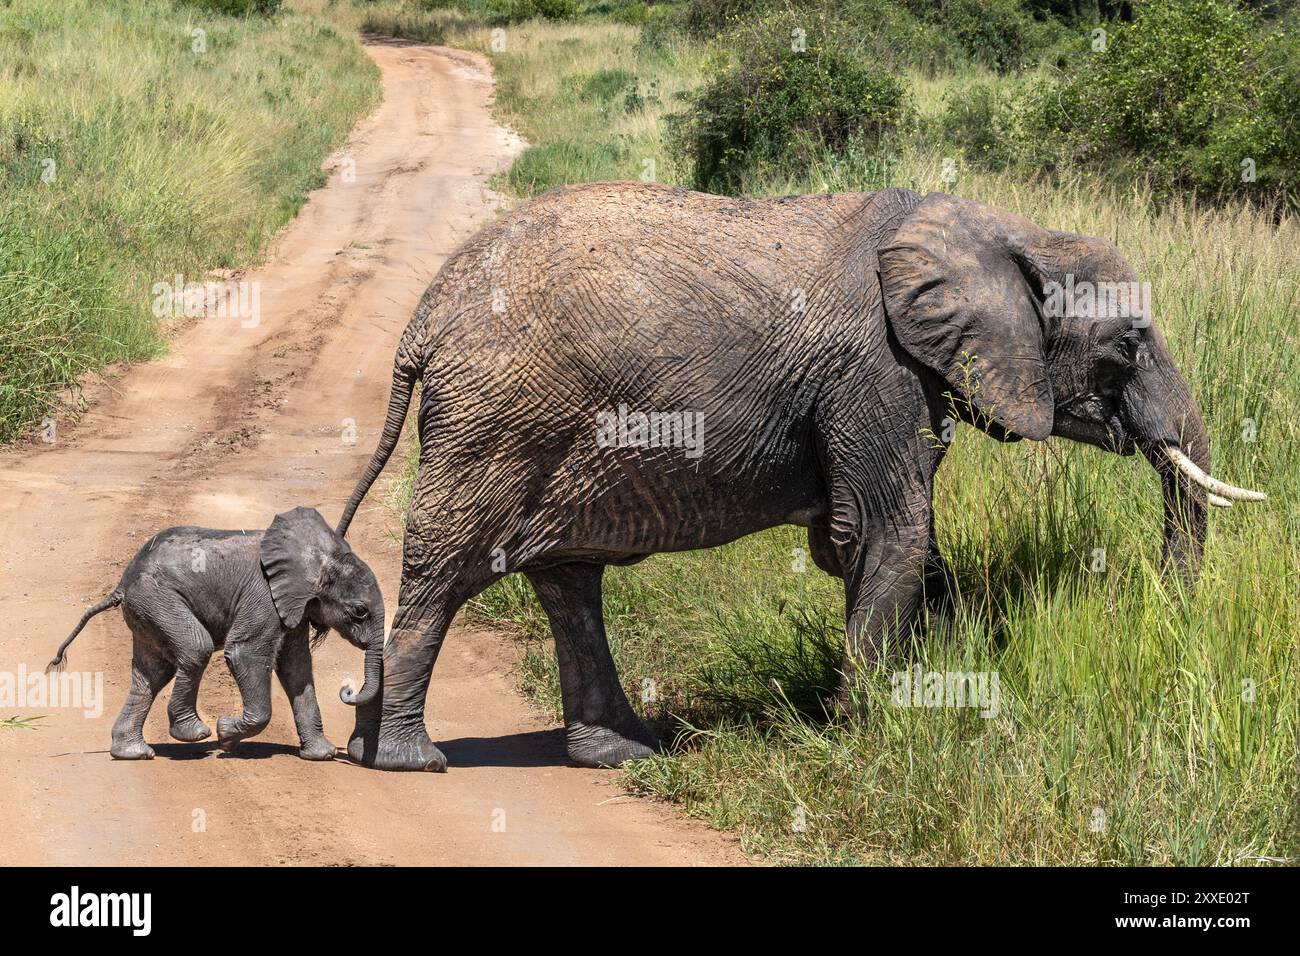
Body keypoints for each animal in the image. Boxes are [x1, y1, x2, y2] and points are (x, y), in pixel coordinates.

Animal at [48, 507, 385, 761]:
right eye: (359, 611)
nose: (347, 689)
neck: (315, 557)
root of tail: (121, 584)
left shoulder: (292, 607)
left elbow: (297, 667)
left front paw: (322, 755)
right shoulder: (262, 597)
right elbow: (245, 653)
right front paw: (225, 737)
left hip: (148, 610)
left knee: (152, 673)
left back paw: (132, 753)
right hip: (158, 600)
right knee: (195, 648)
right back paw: (195, 734)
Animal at [334, 183, 1265, 773]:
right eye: (1129, 343)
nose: (1169, 616)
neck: (1002, 231)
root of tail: (423, 319)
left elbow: (875, 546)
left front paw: (932, 688)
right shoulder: (876, 372)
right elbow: (885, 534)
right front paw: (869, 739)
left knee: (569, 580)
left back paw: (621, 754)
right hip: (495, 420)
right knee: (445, 568)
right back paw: (409, 761)